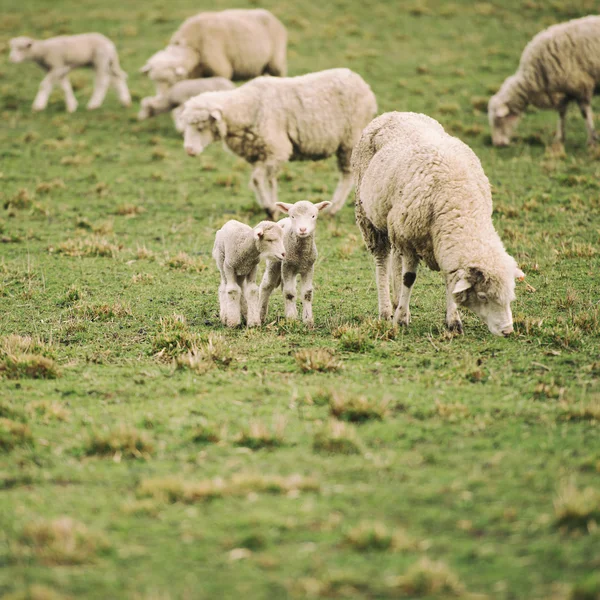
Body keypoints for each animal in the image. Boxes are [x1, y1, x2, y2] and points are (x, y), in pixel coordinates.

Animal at [179, 68, 376, 218]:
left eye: (201, 126)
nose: (189, 150)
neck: (248, 108)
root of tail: (361, 83)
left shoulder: (277, 149)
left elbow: (257, 180)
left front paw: (268, 208)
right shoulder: (263, 154)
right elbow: (270, 181)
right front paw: (274, 207)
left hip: (350, 140)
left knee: (347, 175)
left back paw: (334, 208)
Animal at [352, 111, 524, 338]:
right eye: (483, 296)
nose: (507, 331)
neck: (457, 199)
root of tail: (395, 113)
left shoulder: (439, 244)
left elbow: (450, 281)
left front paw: (453, 321)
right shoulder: (410, 240)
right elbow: (409, 278)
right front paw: (401, 319)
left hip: (394, 224)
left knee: (396, 258)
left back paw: (397, 301)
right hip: (370, 217)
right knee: (382, 261)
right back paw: (387, 310)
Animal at [488, 15, 600, 148]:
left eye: (498, 120)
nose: (497, 144)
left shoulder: (581, 86)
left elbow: (585, 114)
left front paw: (592, 140)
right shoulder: (562, 92)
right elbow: (561, 114)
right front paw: (559, 139)